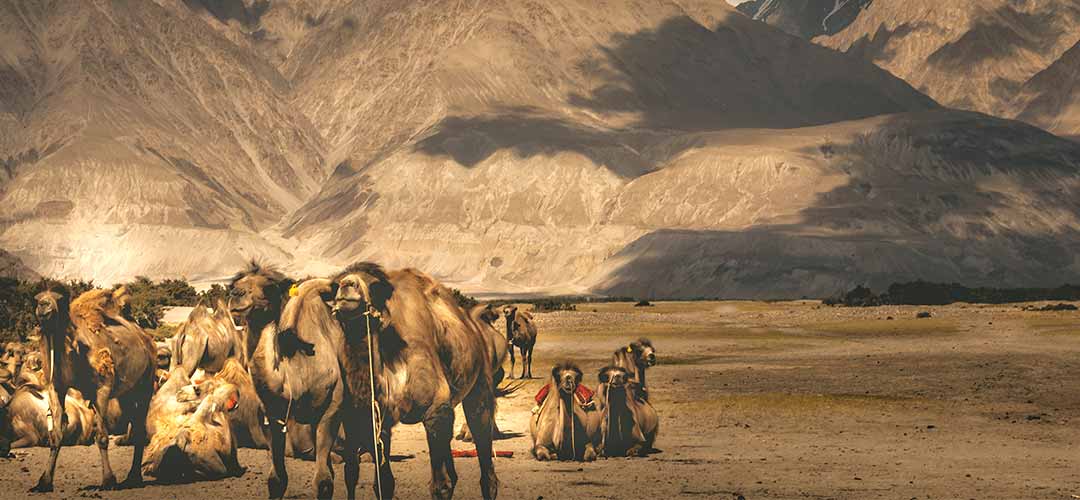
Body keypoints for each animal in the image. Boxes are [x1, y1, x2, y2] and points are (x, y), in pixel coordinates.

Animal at [29, 285, 154, 492]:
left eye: (60, 300)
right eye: (37, 299)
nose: (44, 306)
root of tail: (146, 338)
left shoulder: (102, 387)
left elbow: (102, 436)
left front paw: (108, 481)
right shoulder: (56, 387)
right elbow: (56, 435)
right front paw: (43, 482)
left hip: (146, 383)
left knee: (140, 426)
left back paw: (134, 478)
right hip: (126, 393)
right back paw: (132, 478)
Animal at [226, 264, 341, 498]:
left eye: (269, 287)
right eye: (235, 284)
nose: (236, 295)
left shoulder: (331, 410)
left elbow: (323, 482)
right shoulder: (274, 415)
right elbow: (277, 479)